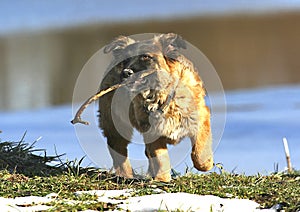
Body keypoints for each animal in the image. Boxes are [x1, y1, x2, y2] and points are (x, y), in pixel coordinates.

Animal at [98, 33, 213, 182]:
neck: (162, 98)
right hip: (115, 124)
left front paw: (206, 163)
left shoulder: (201, 115)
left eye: (146, 57)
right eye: (126, 59)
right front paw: (162, 179)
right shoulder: (152, 133)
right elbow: (160, 158)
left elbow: (200, 150)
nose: (125, 73)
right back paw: (126, 175)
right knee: (118, 149)